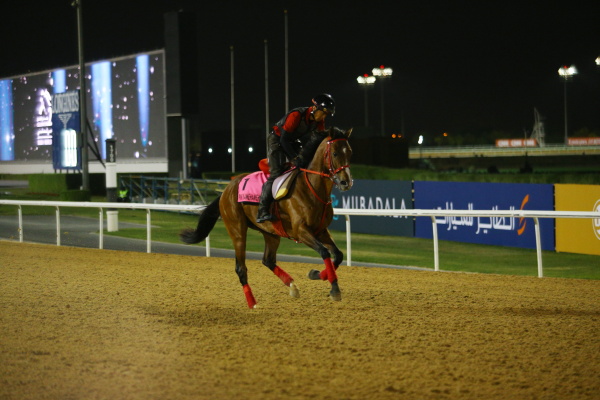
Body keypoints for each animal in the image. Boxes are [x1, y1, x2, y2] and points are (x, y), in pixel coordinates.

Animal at [180, 126, 354, 308]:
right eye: (335, 153)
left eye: (349, 152)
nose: (346, 182)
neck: (311, 188)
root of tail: (226, 189)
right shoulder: (301, 231)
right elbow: (325, 252)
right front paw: (333, 288)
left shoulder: (321, 231)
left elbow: (338, 255)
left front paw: (318, 275)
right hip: (237, 230)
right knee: (241, 267)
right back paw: (252, 303)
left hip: (270, 232)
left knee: (268, 260)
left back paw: (292, 286)